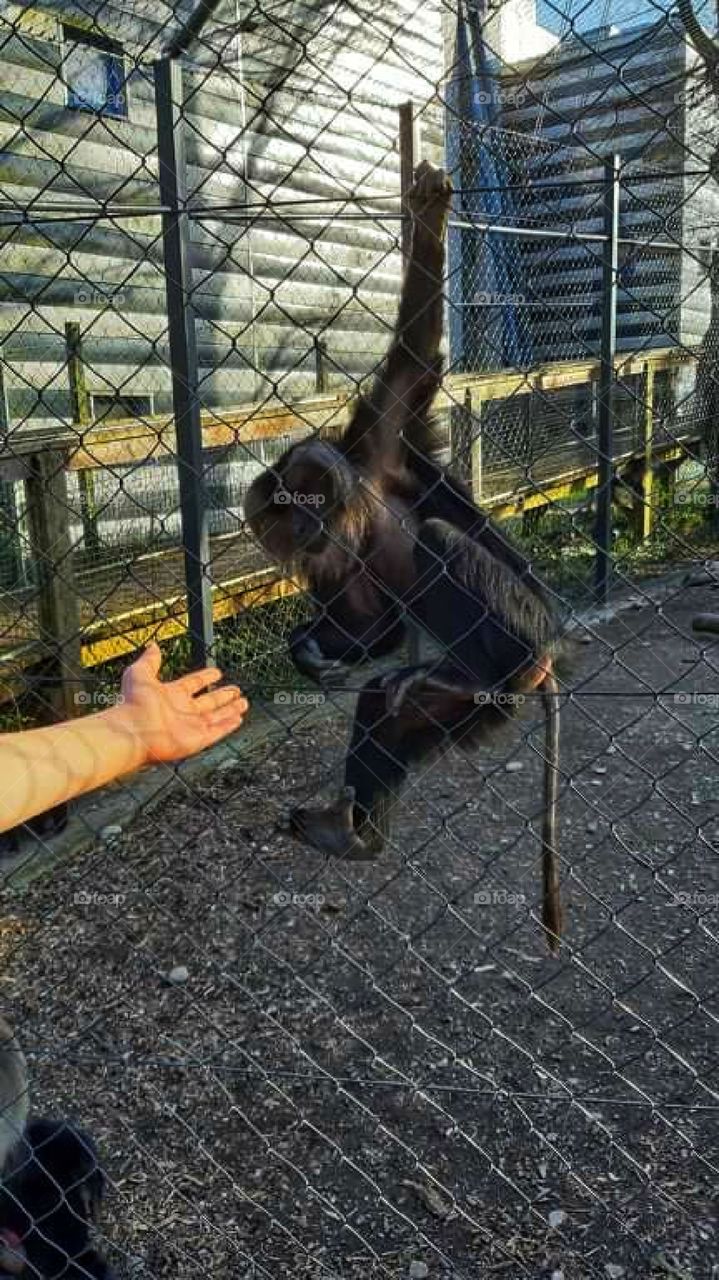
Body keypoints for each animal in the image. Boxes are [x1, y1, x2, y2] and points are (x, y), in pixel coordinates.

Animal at [246, 160, 563, 951]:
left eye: (310, 498)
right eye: (290, 516)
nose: (305, 527)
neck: (353, 515)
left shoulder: (382, 438)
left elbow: (415, 354)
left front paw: (424, 212)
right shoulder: (330, 562)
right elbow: (372, 628)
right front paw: (308, 649)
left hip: (523, 631)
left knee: (439, 546)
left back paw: (486, 656)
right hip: (472, 711)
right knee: (388, 708)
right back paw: (352, 831)